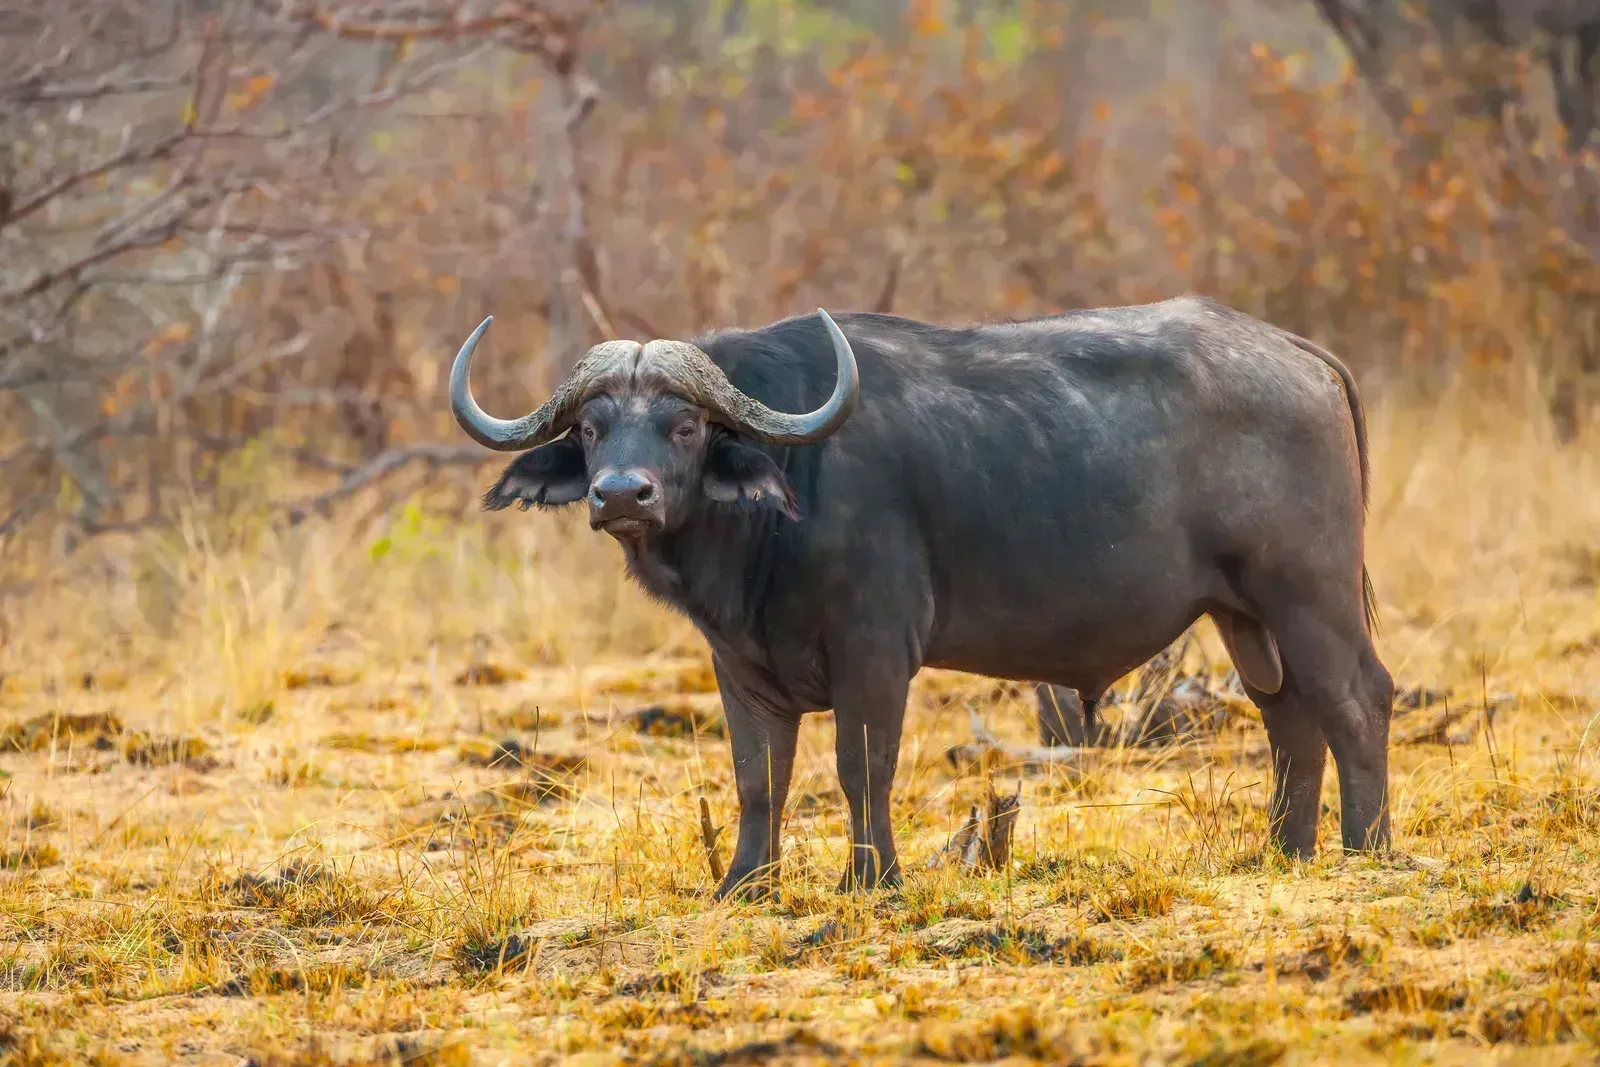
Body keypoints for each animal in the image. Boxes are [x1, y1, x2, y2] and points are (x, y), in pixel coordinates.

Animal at [449, 296, 1393, 899]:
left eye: (683, 425)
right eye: (591, 427)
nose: (621, 495)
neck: (786, 498)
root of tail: (1302, 354)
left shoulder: (874, 649)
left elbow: (861, 764)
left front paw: (870, 878)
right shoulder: (740, 665)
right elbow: (760, 777)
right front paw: (745, 884)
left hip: (1308, 594)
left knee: (1357, 701)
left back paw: (1366, 847)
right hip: (1246, 616)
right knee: (1289, 716)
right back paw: (1285, 851)